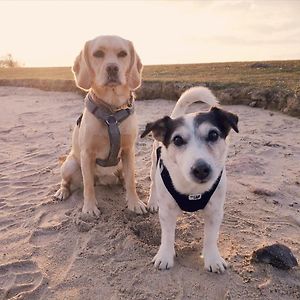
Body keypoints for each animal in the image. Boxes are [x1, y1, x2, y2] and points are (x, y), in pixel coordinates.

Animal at [55, 35, 148, 216]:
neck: (111, 111)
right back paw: (62, 191)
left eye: (122, 54)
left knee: (124, 179)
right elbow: (88, 187)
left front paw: (135, 202)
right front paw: (90, 207)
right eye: (98, 54)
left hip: (120, 165)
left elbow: (131, 181)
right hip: (70, 165)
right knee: (69, 181)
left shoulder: (128, 151)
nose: (112, 68)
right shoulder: (87, 154)